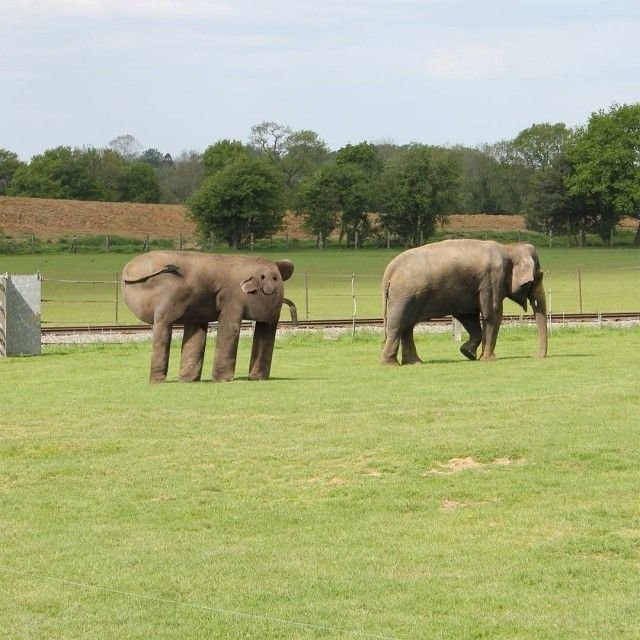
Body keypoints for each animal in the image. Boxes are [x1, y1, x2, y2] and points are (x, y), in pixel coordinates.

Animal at [121, 250, 294, 382]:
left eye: (276, 278)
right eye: (263, 277)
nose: (270, 288)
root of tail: (129, 269)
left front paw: (189, 380)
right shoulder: (232, 298)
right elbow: (230, 327)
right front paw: (223, 380)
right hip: (167, 300)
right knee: (163, 324)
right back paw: (156, 382)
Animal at [382, 239, 548, 364]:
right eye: (539, 276)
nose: (534, 355)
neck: (508, 248)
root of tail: (389, 271)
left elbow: (469, 317)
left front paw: (468, 353)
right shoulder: (492, 279)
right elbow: (492, 314)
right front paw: (489, 359)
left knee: (406, 326)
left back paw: (414, 363)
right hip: (403, 297)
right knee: (398, 325)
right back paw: (391, 364)